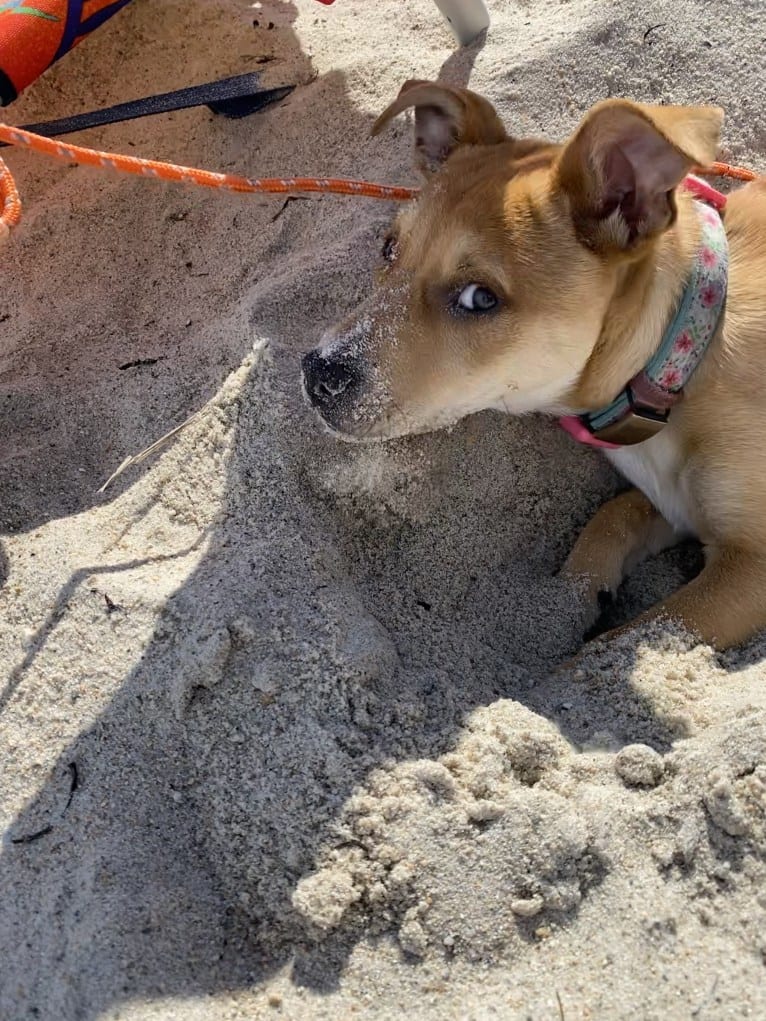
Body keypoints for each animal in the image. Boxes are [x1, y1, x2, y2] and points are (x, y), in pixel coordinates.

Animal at [300, 81, 766, 653]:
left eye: (480, 298)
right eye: (388, 248)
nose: (319, 373)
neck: (678, 355)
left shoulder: (749, 569)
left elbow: (631, 637)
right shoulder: (665, 503)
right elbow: (610, 520)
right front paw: (562, 607)